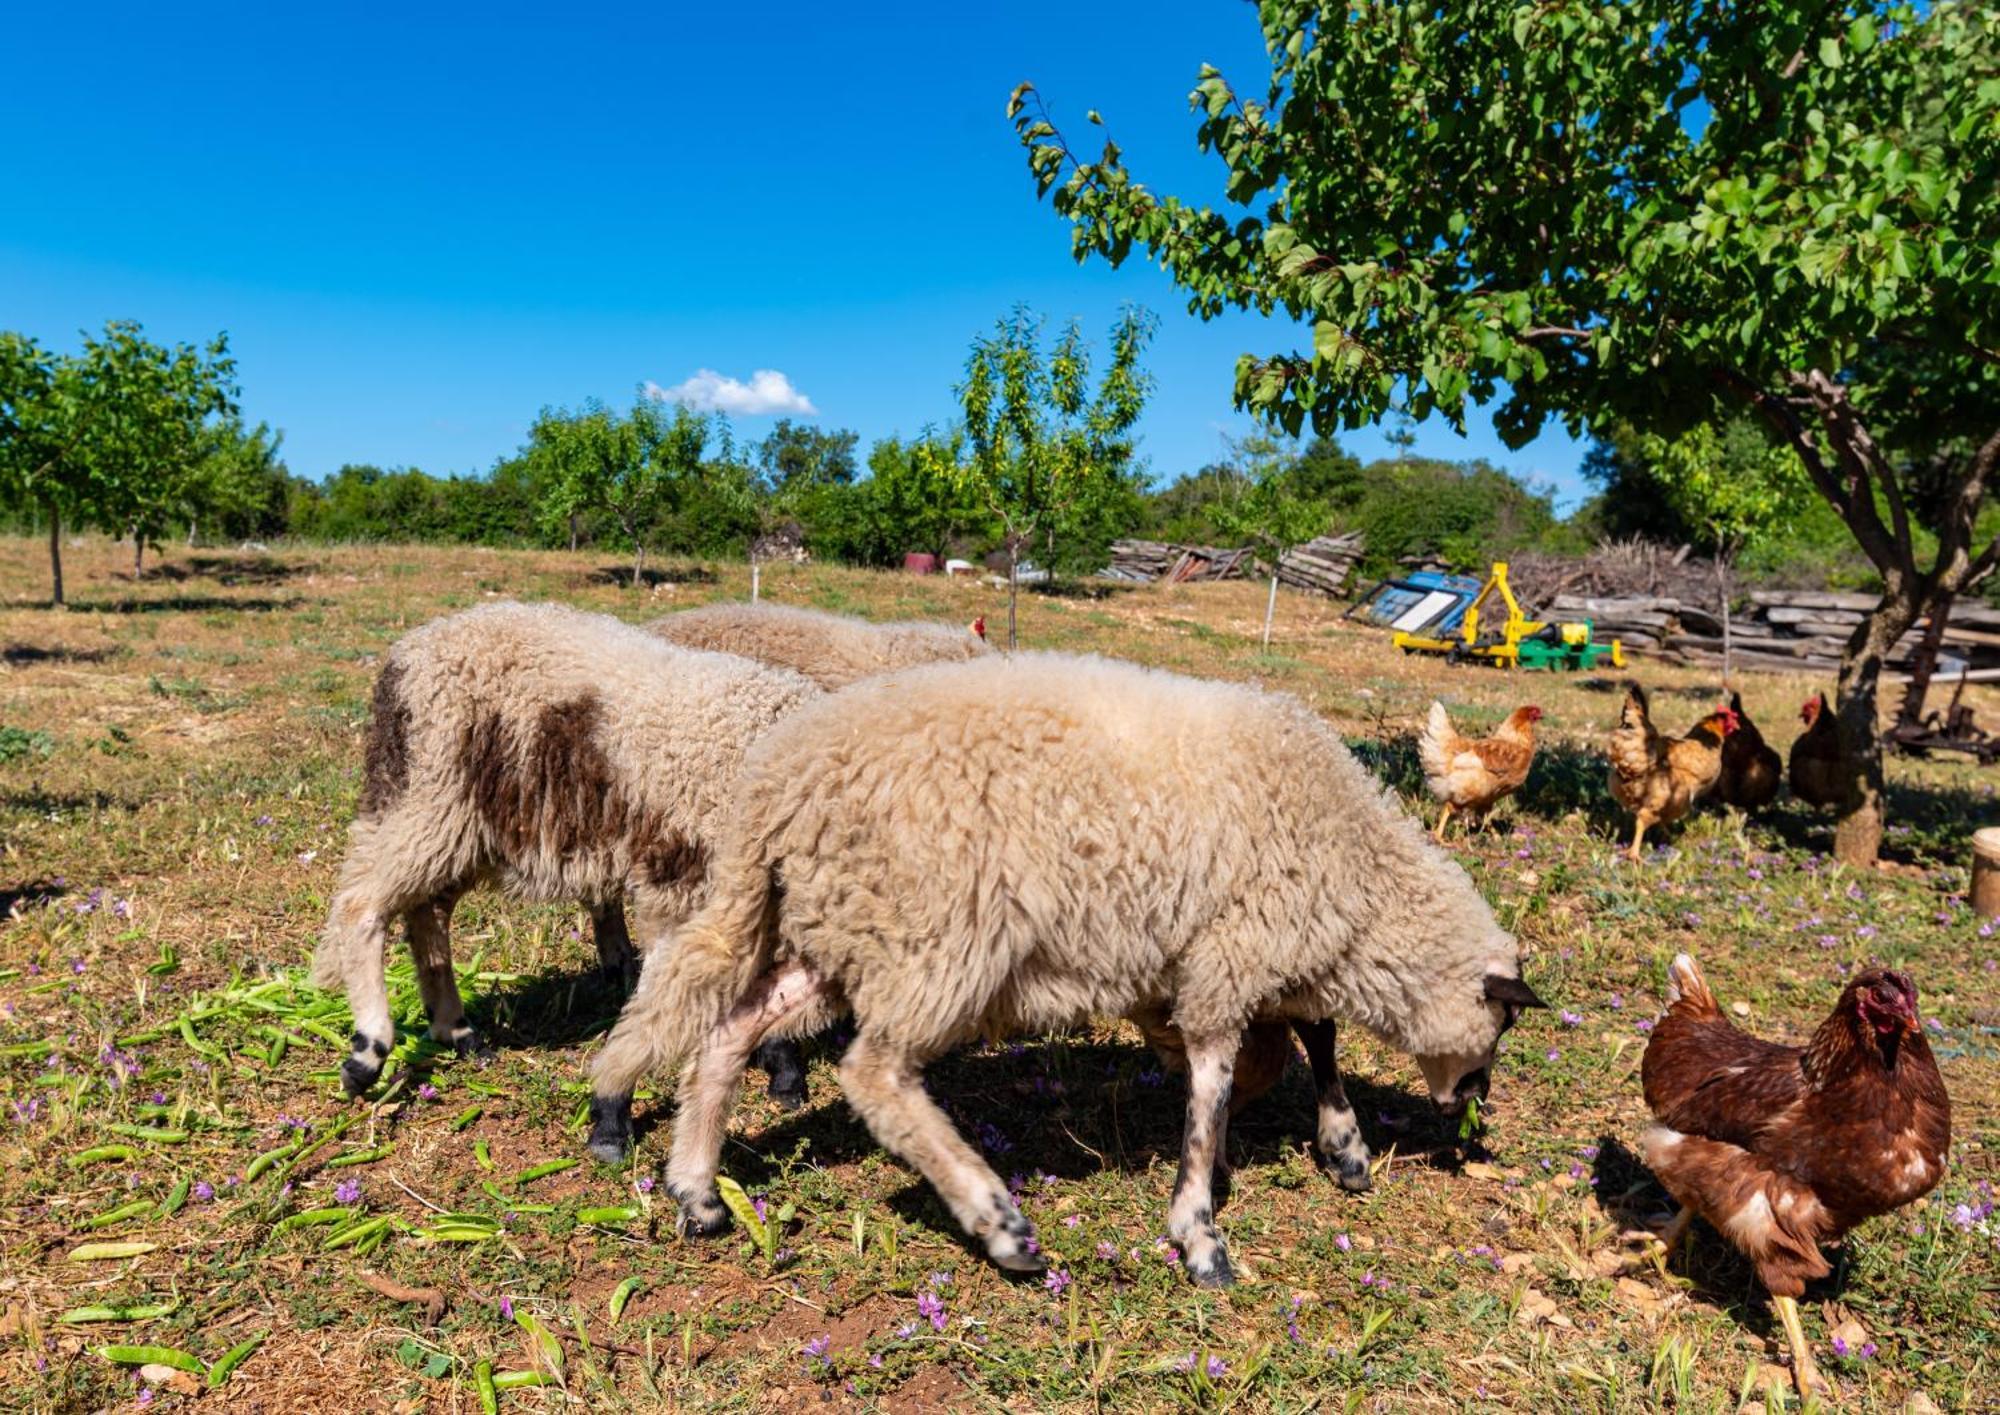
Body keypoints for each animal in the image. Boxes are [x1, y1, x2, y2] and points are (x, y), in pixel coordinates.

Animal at [308, 603, 816, 1103]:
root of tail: (409, 650)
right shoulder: (679, 873)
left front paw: (782, 1063)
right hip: (431, 795)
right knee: (361, 904)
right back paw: (368, 1051)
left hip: (462, 825)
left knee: (426, 915)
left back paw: (457, 1031)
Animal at [584, 659, 1544, 1287]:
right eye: (1503, 1023)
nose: (1474, 1102)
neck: (1362, 874)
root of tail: (774, 785)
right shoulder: (1233, 954)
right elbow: (1223, 1081)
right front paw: (1201, 1228)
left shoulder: (1265, 949)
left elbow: (1310, 1037)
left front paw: (1336, 1144)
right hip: (939, 932)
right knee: (874, 1073)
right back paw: (1000, 1222)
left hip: (849, 926)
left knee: (731, 1026)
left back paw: (697, 1189)